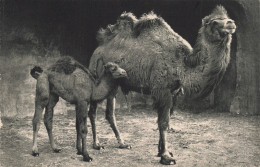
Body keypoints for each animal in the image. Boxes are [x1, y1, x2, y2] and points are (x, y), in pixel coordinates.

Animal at [88, 5, 236, 165]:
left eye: (227, 18)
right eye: (214, 22)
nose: (231, 23)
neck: (182, 65)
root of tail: (98, 49)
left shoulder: (174, 92)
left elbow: (166, 120)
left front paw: (162, 152)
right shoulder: (162, 90)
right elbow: (163, 123)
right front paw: (166, 156)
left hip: (114, 83)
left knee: (110, 113)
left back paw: (123, 143)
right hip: (97, 74)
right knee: (93, 111)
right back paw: (97, 144)